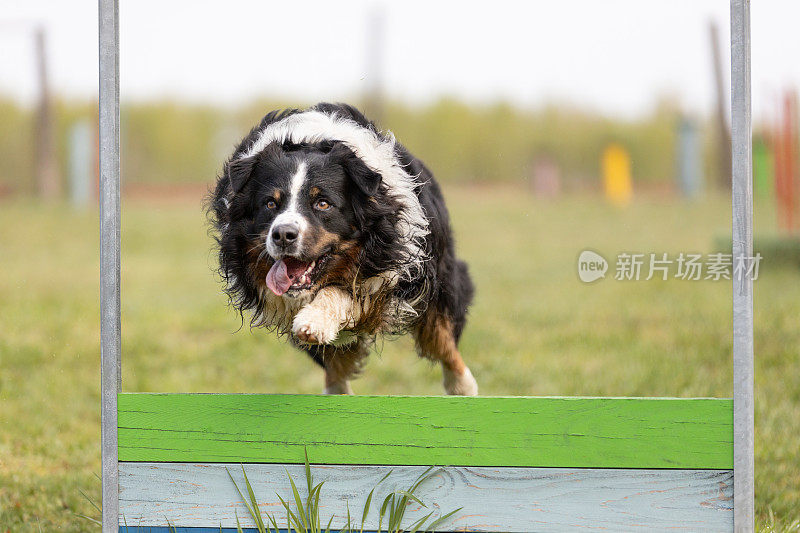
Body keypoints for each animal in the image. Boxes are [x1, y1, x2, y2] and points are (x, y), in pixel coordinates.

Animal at [209, 103, 478, 394]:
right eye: (270, 203)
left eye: (323, 203)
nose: (282, 235)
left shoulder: (398, 267)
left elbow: (344, 292)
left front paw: (313, 321)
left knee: (441, 339)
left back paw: (462, 385)